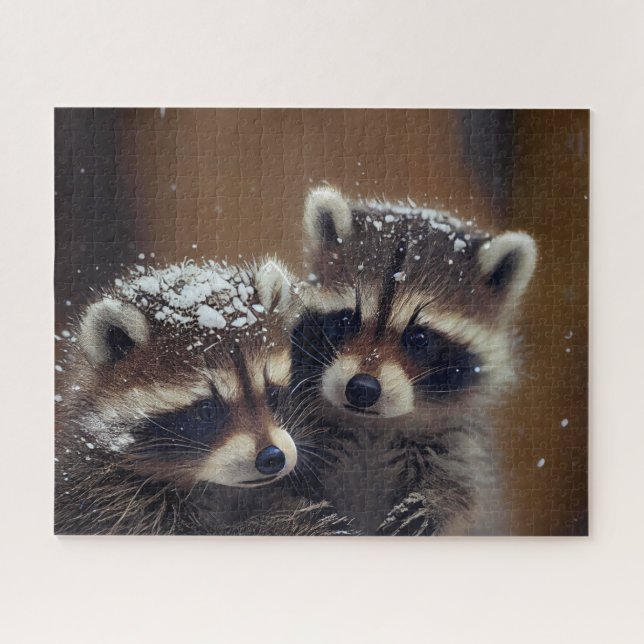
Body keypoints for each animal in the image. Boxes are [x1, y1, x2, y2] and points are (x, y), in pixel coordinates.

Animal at [290, 186, 537, 535]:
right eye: (347, 321)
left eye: (419, 338)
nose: (362, 388)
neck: (374, 427)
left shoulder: (459, 443)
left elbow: (466, 487)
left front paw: (437, 500)